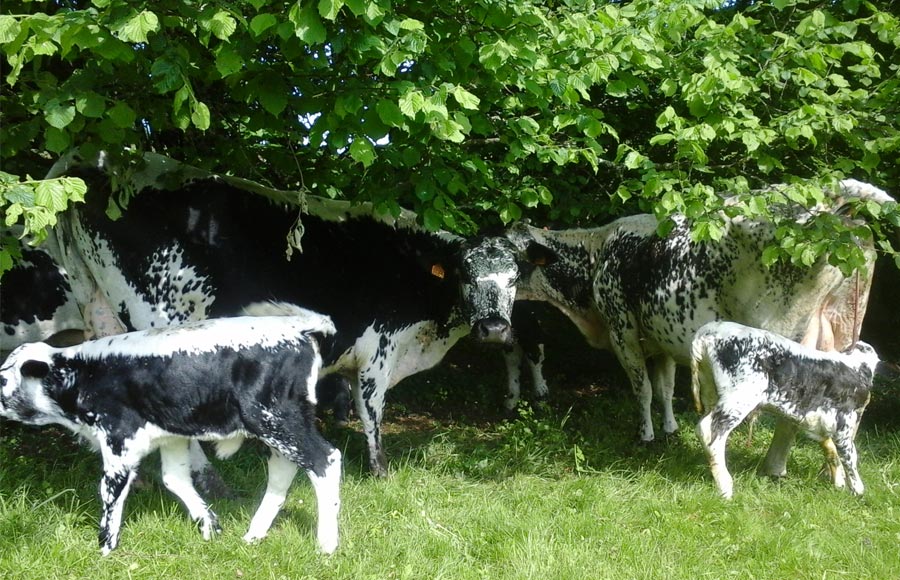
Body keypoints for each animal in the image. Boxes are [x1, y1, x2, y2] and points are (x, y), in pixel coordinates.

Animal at [0, 310, 342, 556]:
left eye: (3, 380)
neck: (81, 374)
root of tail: (299, 327)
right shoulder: (171, 435)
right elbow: (175, 479)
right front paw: (210, 526)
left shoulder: (119, 438)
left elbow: (110, 490)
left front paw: (105, 549)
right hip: (277, 424)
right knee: (284, 466)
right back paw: (254, 534)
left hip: (275, 418)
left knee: (325, 460)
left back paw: (326, 545)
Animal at [42, 150, 516, 476]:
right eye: (465, 274)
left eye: (513, 278)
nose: (494, 327)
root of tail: (102, 158)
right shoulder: (379, 351)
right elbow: (373, 414)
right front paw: (381, 472)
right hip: (161, 318)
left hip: (96, 306)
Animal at [472, 179, 892, 478]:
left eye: (512, 262)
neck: (597, 253)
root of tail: (828, 203)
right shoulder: (661, 338)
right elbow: (665, 387)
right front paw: (671, 429)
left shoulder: (622, 330)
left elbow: (642, 388)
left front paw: (646, 435)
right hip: (840, 332)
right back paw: (828, 471)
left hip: (784, 339)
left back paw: (773, 467)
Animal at [688, 322, 880, 498]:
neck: (854, 367)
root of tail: (709, 331)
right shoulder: (843, 423)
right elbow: (850, 455)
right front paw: (858, 490)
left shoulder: (815, 419)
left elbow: (831, 448)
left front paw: (839, 482)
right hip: (739, 398)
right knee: (709, 431)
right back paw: (725, 487)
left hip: (710, 392)